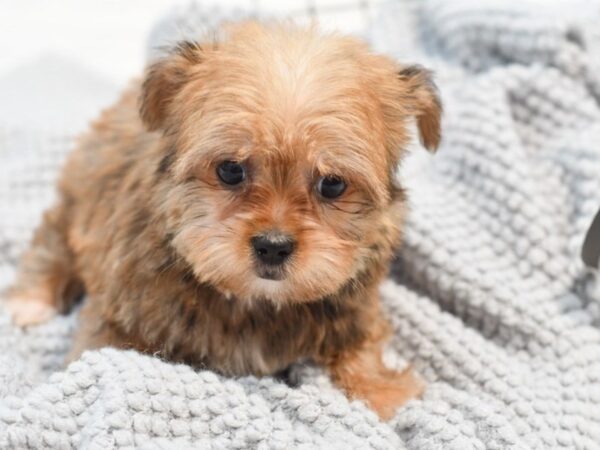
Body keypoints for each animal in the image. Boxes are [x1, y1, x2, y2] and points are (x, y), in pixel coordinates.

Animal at [3, 22, 440, 420]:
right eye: (230, 170)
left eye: (332, 184)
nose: (273, 246)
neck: (256, 303)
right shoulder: (118, 319)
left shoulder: (355, 306)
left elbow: (360, 343)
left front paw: (380, 390)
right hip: (79, 197)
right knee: (54, 239)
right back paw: (30, 300)